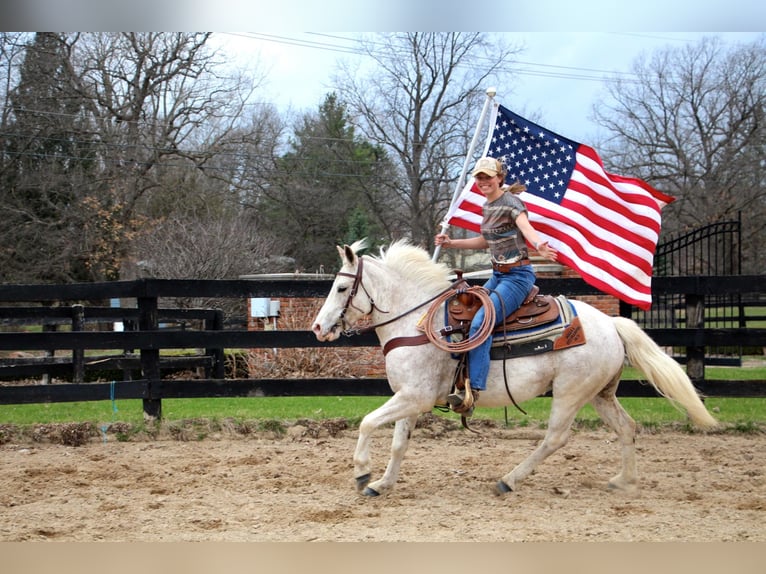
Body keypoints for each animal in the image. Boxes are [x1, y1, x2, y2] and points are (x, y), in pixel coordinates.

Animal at [310, 241, 720, 498]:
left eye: (342, 288)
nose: (317, 327)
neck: (418, 321)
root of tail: (611, 324)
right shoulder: (409, 398)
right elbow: (398, 443)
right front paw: (381, 484)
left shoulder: (416, 397)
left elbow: (367, 423)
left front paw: (362, 472)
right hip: (600, 394)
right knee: (627, 428)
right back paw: (623, 481)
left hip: (570, 393)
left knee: (555, 438)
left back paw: (508, 480)